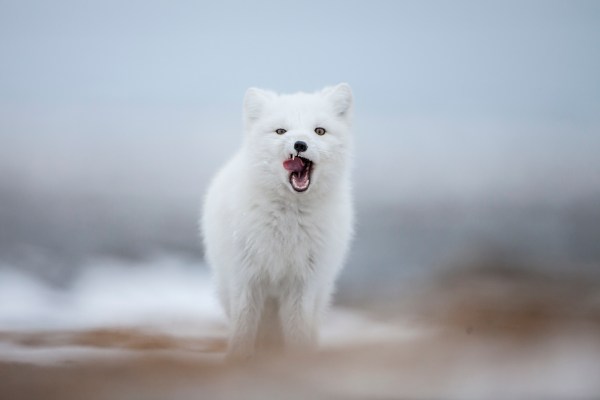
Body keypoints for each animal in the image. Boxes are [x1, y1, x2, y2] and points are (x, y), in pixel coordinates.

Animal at [202, 83, 354, 360]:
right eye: (281, 131)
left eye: (319, 131)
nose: (300, 144)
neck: (288, 223)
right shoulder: (246, 277)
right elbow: (244, 327)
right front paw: (237, 361)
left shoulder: (303, 283)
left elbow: (297, 331)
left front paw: (298, 361)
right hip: (228, 287)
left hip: (320, 291)